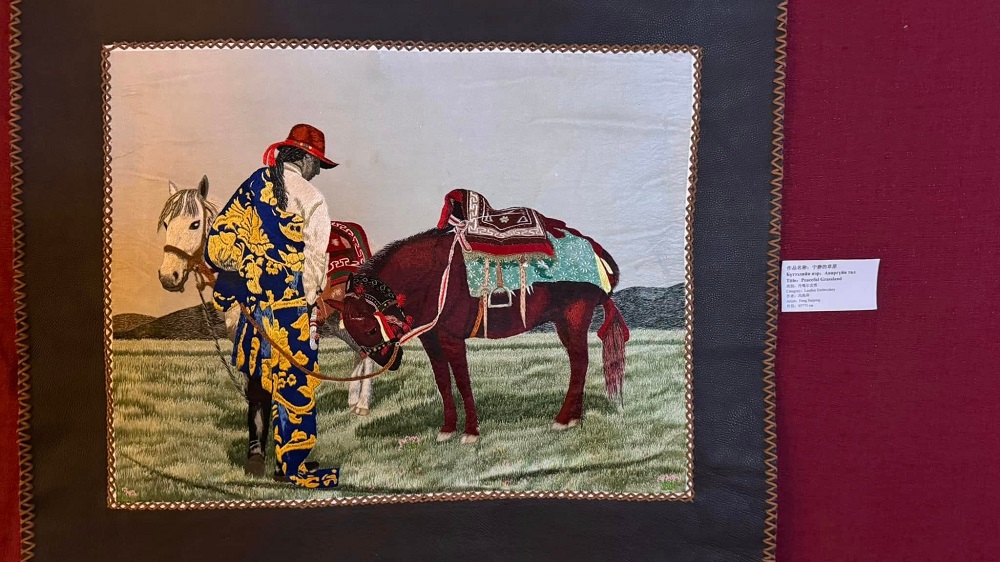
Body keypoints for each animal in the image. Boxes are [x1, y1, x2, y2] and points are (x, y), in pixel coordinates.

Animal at [340, 221, 630, 444]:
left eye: (369, 328)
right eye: (356, 334)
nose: (391, 363)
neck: (434, 276)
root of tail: (598, 253)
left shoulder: (452, 339)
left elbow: (462, 382)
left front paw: (470, 432)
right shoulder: (430, 340)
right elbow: (443, 383)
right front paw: (447, 429)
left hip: (574, 319)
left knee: (580, 364)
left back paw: (562, 419)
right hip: (563, 323)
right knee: (578, 364)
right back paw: (574, 418)